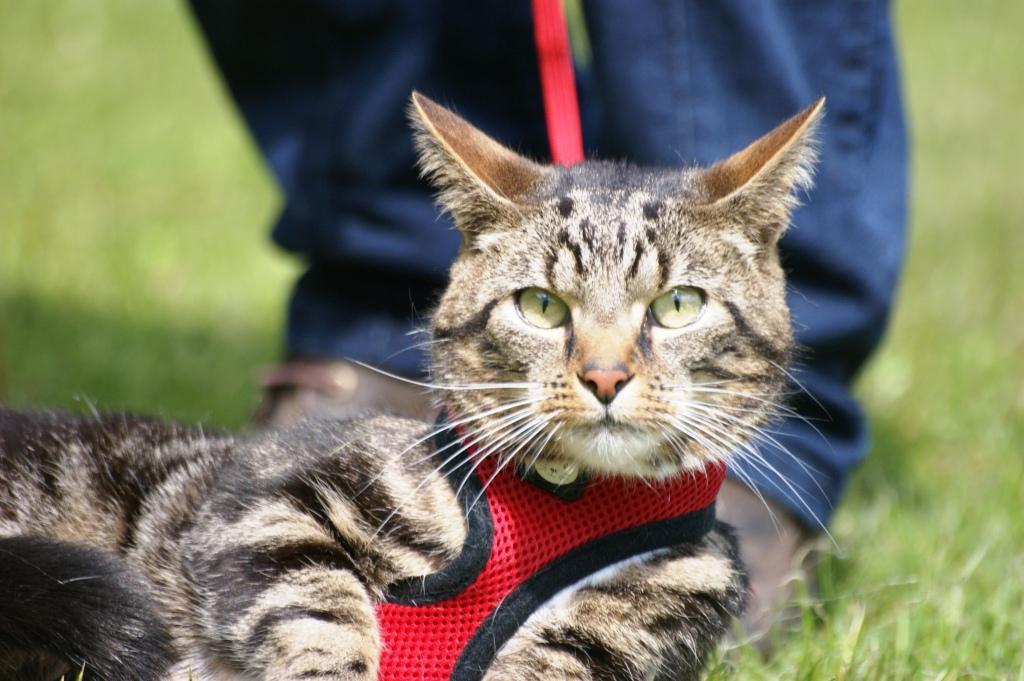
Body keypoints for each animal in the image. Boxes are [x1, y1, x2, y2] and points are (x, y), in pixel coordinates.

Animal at [0, 91, 815, 679]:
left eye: (677, 305)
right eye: (541, 306)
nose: (605, 374)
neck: (565, 504)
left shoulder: (628, 635)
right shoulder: (257, 503)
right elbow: (316, 604)